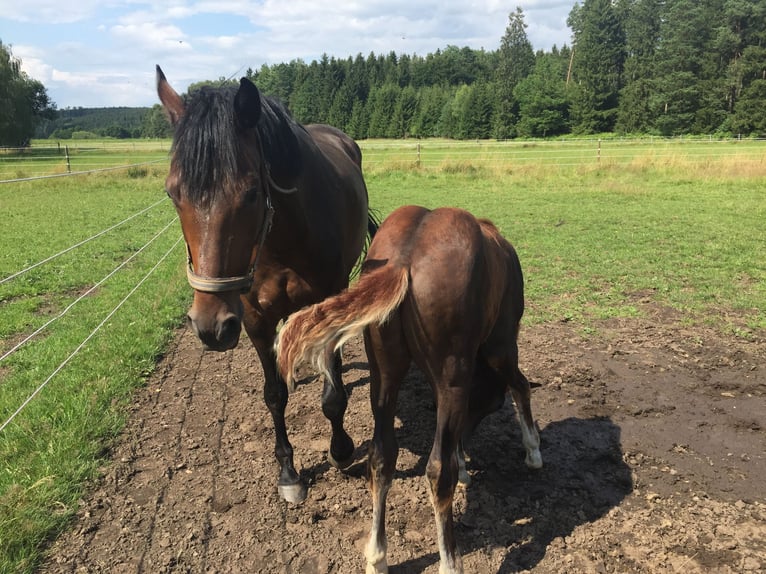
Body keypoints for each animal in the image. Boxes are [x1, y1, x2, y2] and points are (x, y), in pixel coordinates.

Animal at [158, 67, 378, 506]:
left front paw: (342, 450)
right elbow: (274, 395)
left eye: (250, 193)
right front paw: (289, 472)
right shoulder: (254, 319)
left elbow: (333, 396)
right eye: (173, 193)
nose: (210, 326)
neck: (284, 239)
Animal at [280, 206, 544, 574]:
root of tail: (403, 260)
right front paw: (532, 451)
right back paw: (449, 561)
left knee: (381, 457)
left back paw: (377, 556)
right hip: (460, 371)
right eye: (490, 406)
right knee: (437, 471)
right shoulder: (499, 348)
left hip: (385, 376)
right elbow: (520, 386)